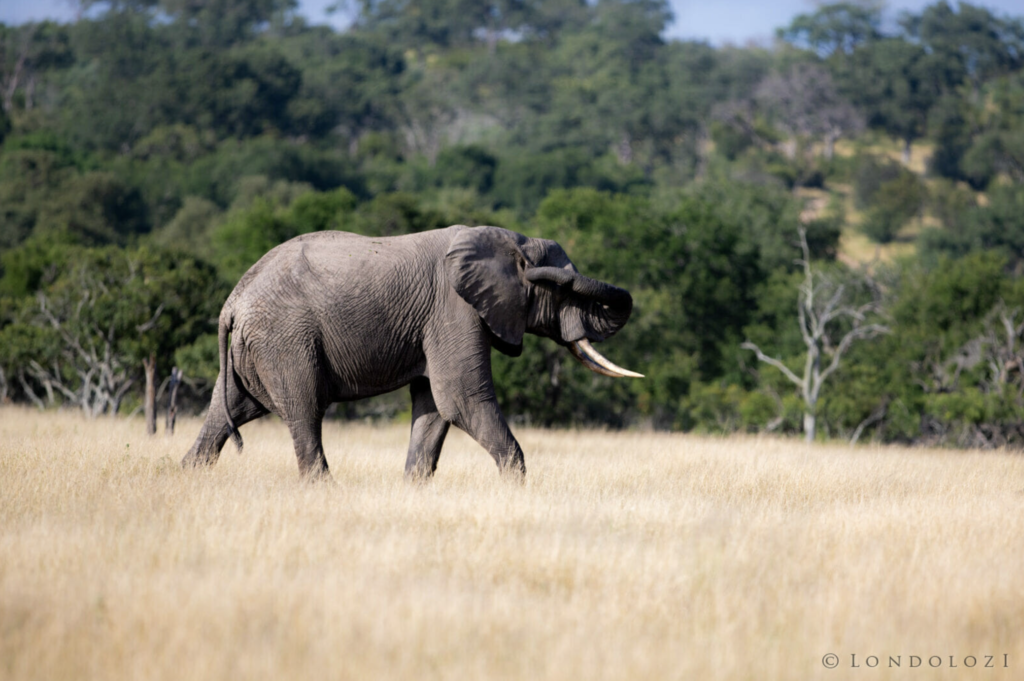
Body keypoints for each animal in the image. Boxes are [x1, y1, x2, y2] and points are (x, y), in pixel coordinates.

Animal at [182, 225, 638, 481]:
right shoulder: (454, 308)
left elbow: (434, 407)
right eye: (563, 290)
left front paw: (415, 486)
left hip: (253, 350)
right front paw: (517, 487)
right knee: (305, 410)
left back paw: (188, 476)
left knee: (229, 409)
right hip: (285, 341)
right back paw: (325, 489)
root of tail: (232, 303)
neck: (509, 238)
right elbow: (461, 399)